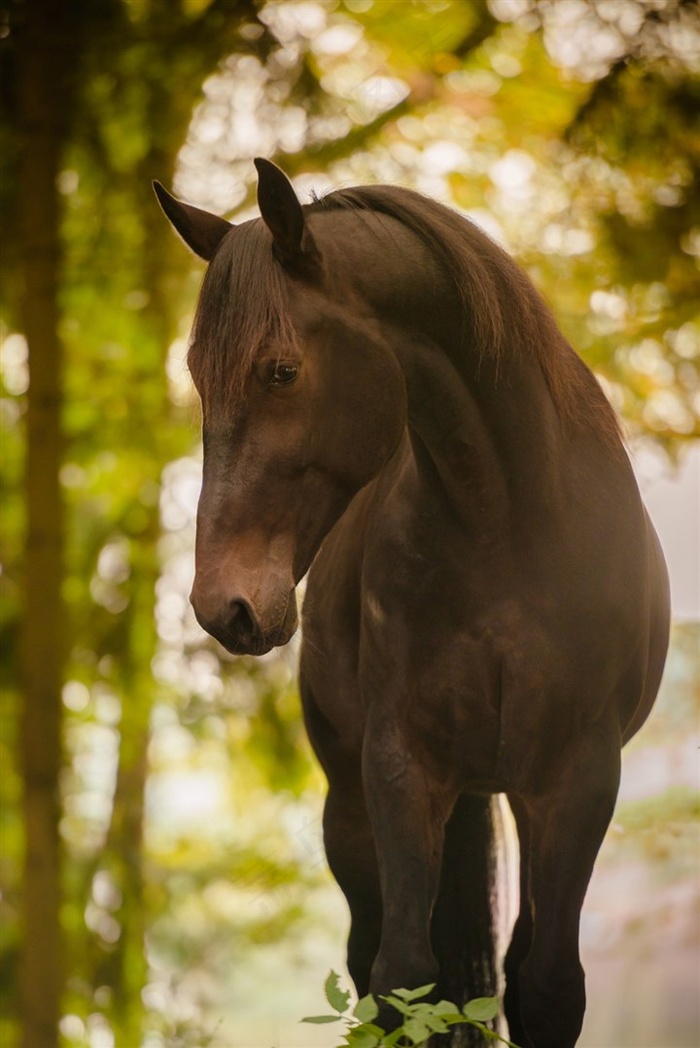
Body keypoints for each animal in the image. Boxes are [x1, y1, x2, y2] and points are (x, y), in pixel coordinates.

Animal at [156, 157, 670, 1048]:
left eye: (282, 369)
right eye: (197, 373)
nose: (226, 605)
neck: (509, 526)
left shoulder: (579, 777)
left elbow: (547, 989)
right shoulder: (402, 766)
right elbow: (403, 980)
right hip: (353, 813)